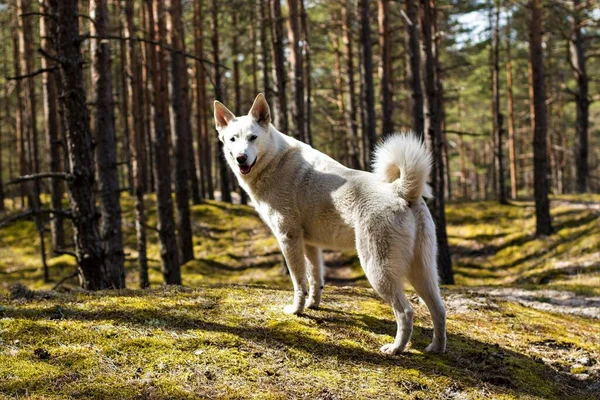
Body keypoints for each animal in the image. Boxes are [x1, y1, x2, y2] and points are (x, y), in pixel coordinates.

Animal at [214, 94, 446, 354]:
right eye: (233, 139)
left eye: (253, 137)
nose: (241, 157)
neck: (275, 160)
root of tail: (400, 190)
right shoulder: (310, 245)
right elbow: (316, 280)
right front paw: (313, 306)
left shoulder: (288, 239)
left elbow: (299, 283)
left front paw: (297, 311)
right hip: (423, 271)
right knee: (439, 309)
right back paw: (436, 348)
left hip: (377, 269)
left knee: (406, 312)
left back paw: (395, 348)